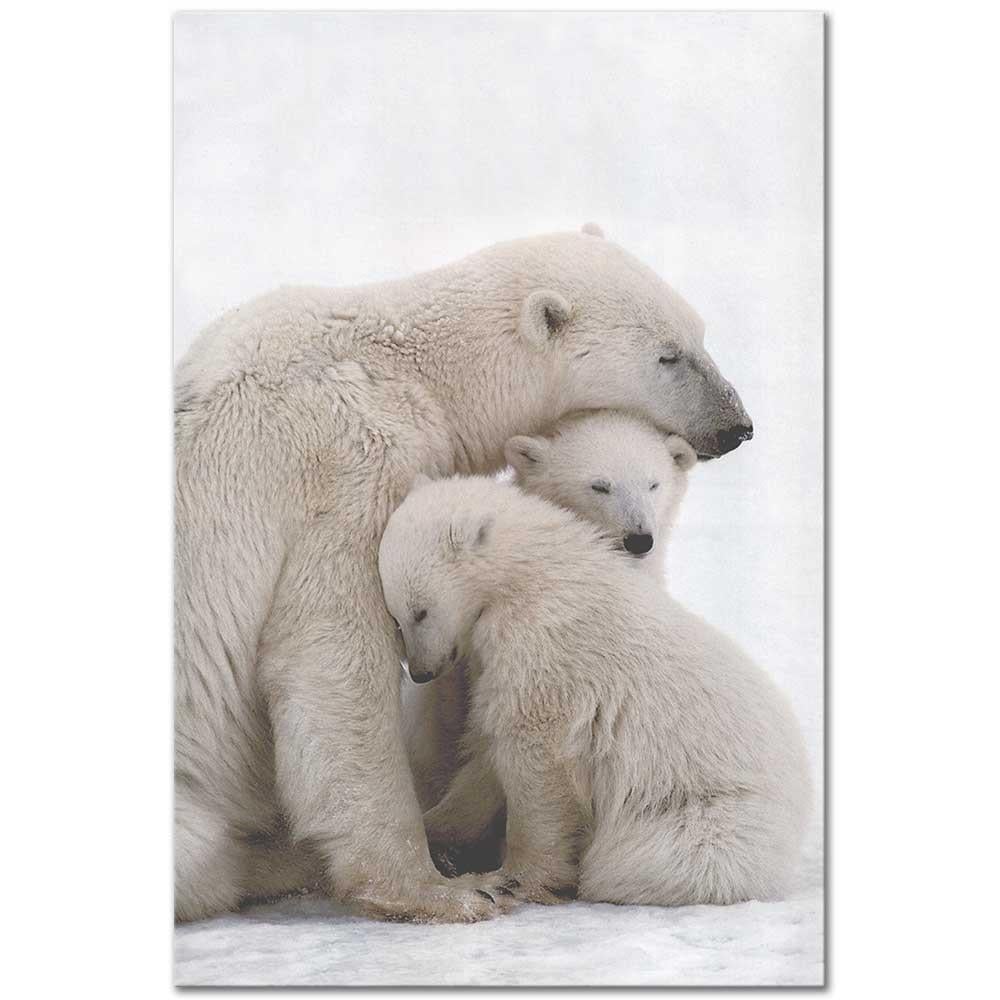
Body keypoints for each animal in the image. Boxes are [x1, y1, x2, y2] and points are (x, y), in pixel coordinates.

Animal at [174, 226, 752, 923]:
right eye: (669, 356)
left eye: (700, 334)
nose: (738, 426)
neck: (411, 368)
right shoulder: (349, 462)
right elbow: (333, 657)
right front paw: (443, 889)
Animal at [380, 475, 810, 906]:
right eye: (395, 617)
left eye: (420, 611)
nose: (421, 672)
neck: (530, 576)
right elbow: (487, 754)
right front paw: (433, 828)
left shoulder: (546, 649)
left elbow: (537, 761)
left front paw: (515, 877)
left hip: (709, 809)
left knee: (649, 859)